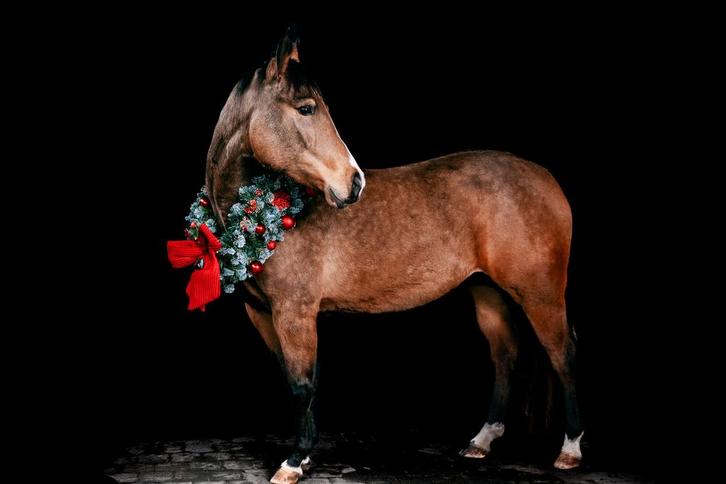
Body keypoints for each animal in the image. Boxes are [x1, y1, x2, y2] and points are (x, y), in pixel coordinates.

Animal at [204, 29, 583, 484]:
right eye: (307, 108)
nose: (354, 183)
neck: (266, 212)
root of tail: (545, 178)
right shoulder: (262, 313)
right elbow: (296, 380)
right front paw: (306, 456)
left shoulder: (295, 312)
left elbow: (302, 384)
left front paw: (294, 463)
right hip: (486, 291)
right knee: (506, 357)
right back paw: (481, 441)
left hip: (540, 293)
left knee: (562, 353)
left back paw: (570, 449)